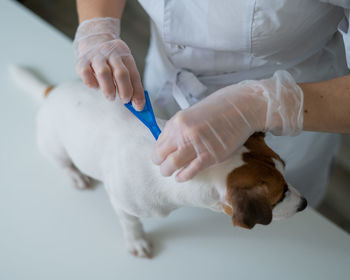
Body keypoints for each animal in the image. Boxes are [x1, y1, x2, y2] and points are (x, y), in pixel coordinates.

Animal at [9, 65, 308, 258]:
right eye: (280, 195)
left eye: (286, 173)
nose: (305, 203)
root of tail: (52, 91)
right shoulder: (124, 204)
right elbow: (132, 224)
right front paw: (138, 241)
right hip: (54, 145)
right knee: (61, 161)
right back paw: (74, 174)